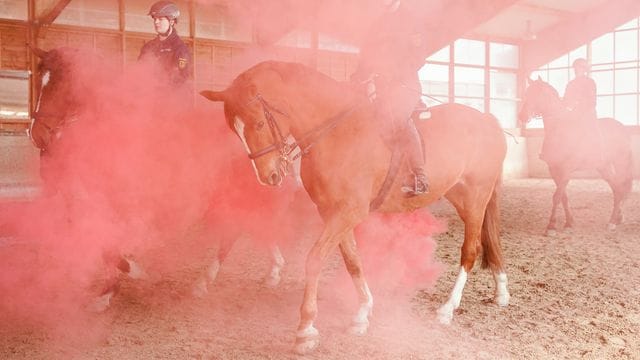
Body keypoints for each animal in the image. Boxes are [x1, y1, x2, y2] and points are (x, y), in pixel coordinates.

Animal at [200, 60, 510, 352]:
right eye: (235, 130)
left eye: (259, 124)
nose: (270, 176)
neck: (338, 133)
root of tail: (486, 119)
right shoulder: (333, 213)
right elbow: (353, 261)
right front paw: (362, 314)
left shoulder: (348, 212)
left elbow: (314, 259)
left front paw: (305, 329)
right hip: (462, 197)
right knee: (490, 239)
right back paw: (501, 291)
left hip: (475, 198)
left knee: (471, 250)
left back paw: (447, 308)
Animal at [520, 79, 636, 236]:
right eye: (527, 93)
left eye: (539, 94)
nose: (522, 116)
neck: (559, 130)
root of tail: (622, 127)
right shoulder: (554, 170)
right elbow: (563, 197)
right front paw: (569, 223)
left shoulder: (566, 170)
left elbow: (556, 197)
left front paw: (551, 227)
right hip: (604, 167)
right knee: (617, 188)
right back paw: (617, 219)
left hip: (620, 163)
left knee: (621, 188)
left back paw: (612, 222)